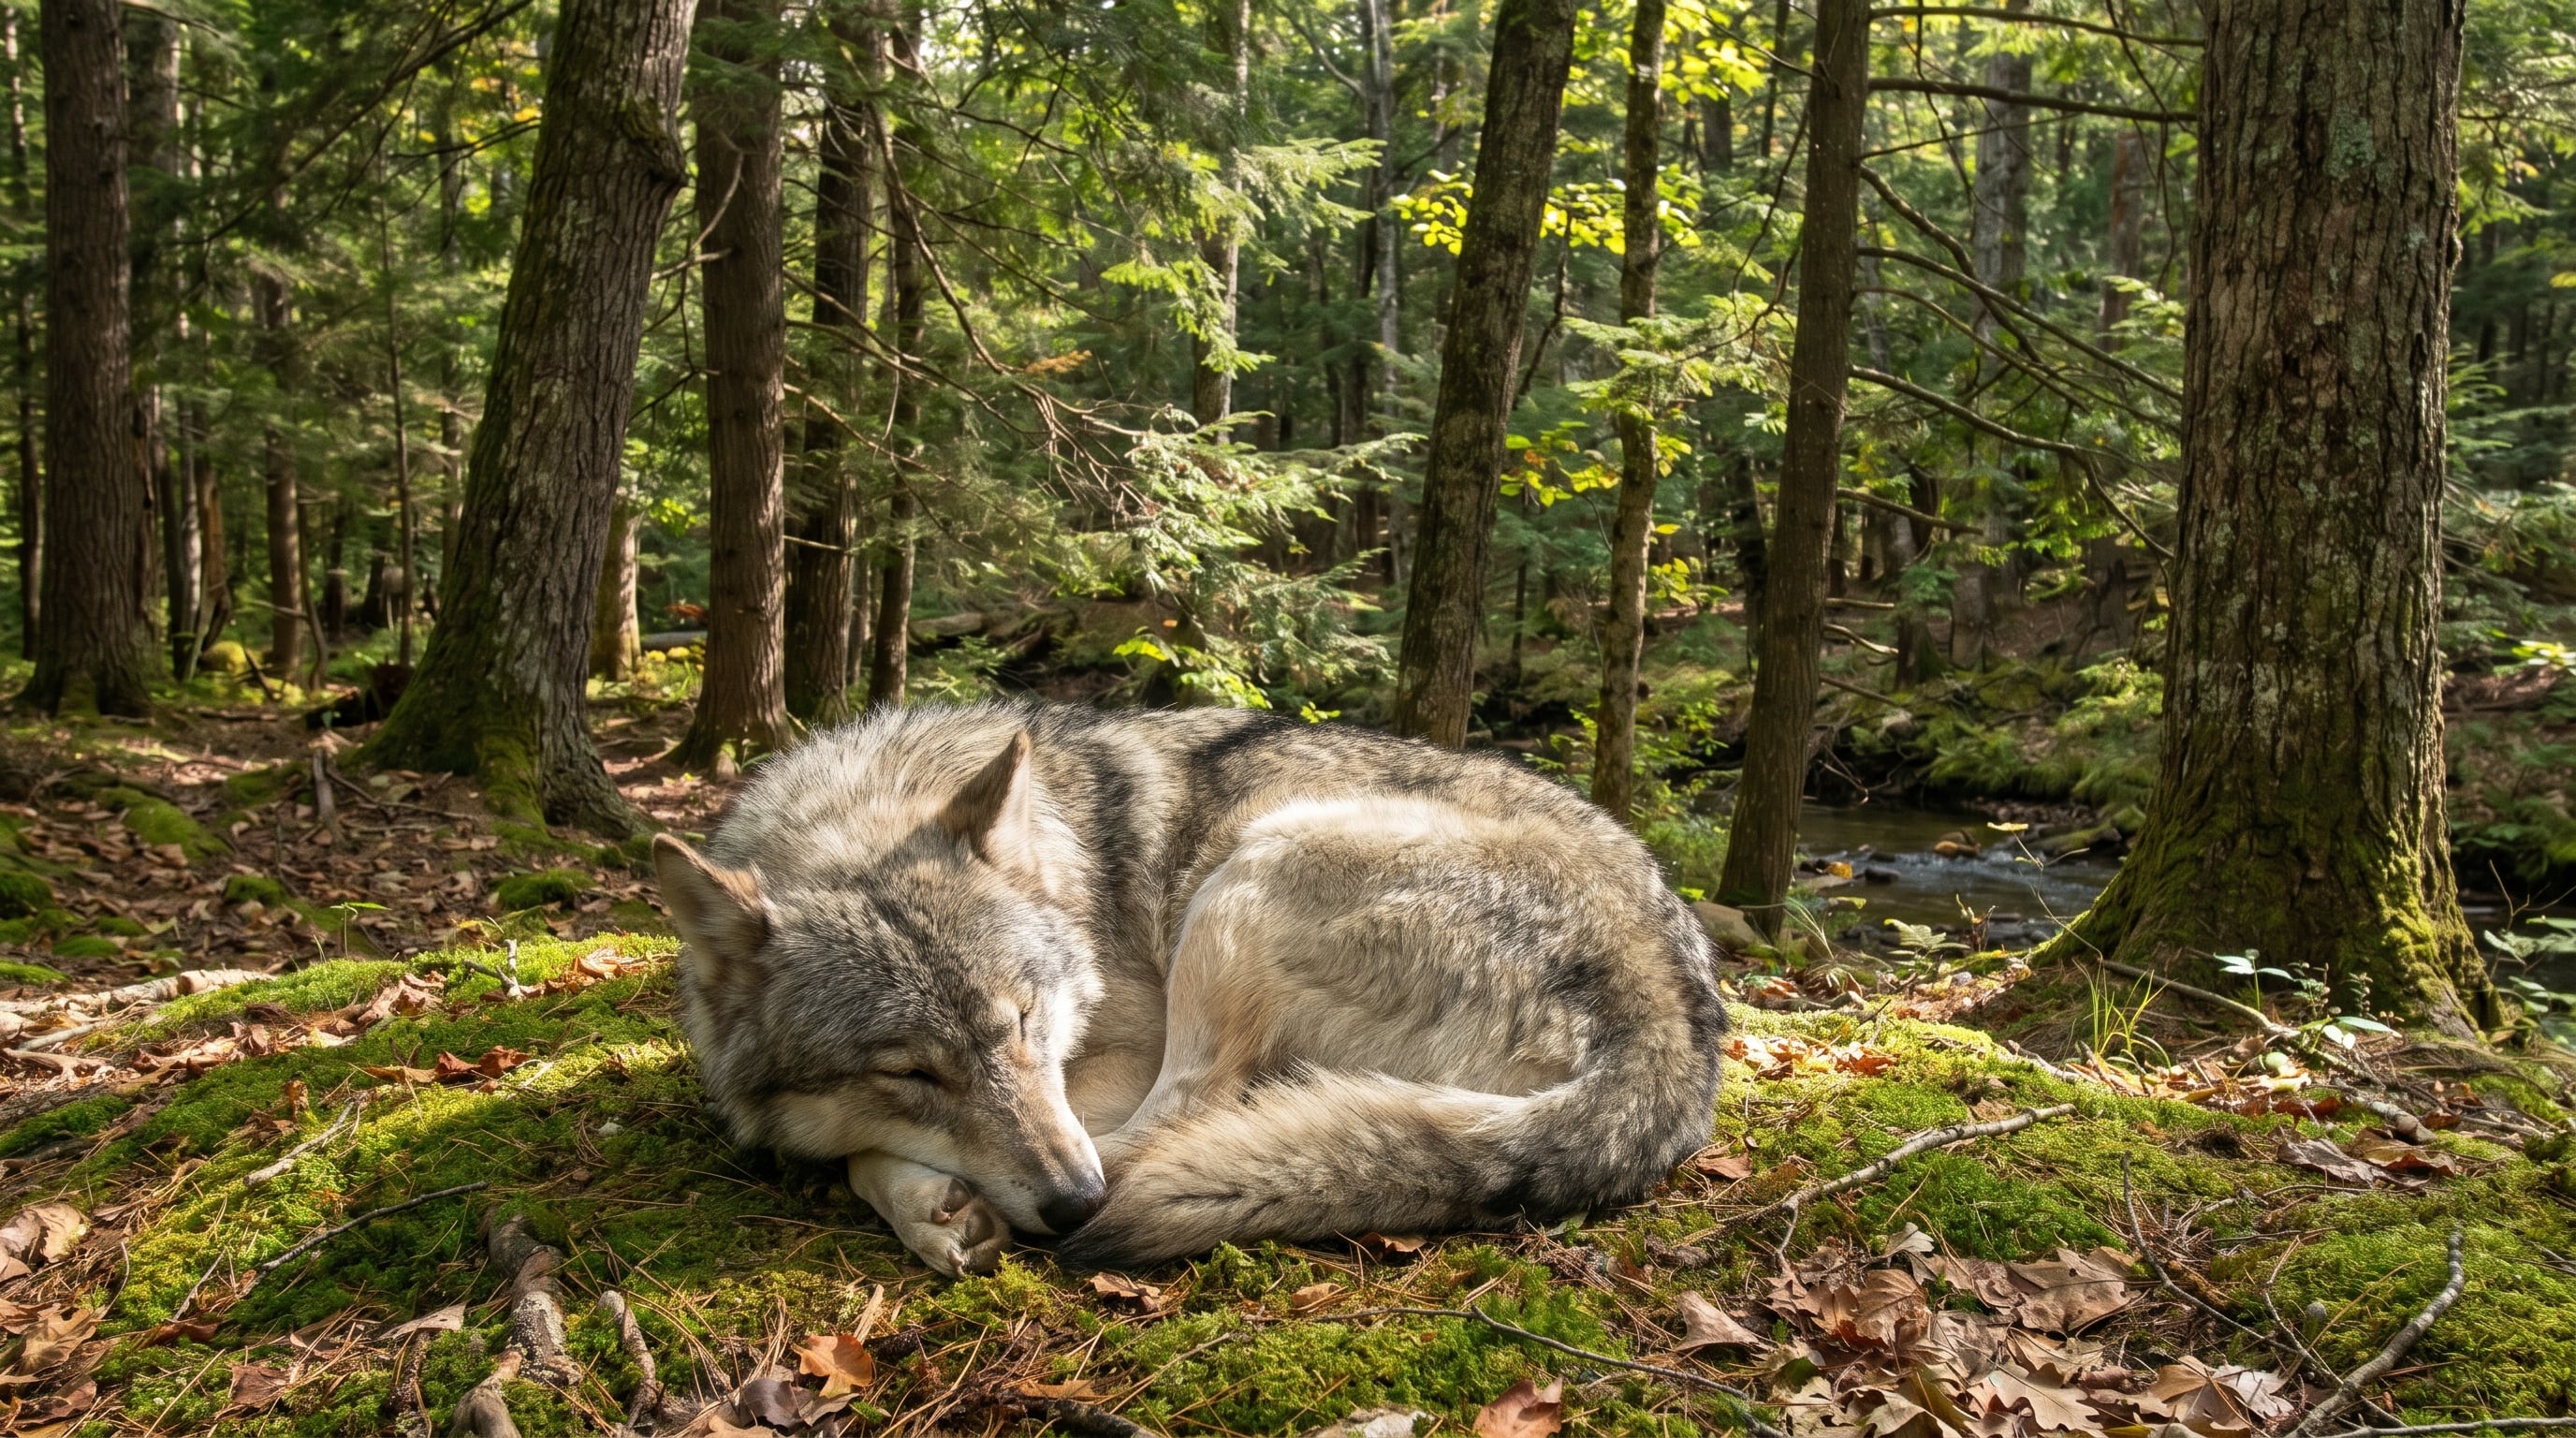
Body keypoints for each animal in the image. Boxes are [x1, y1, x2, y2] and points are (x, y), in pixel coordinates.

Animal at [653, 701, 1725, 1275]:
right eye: (911, 1073)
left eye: (1026, 1022)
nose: (1072, 1203)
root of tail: (1673, 1024)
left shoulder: (1121, 1048)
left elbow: (856, 1157)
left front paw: (928, 1204)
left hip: (1246, 878)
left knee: (1188, 1117)